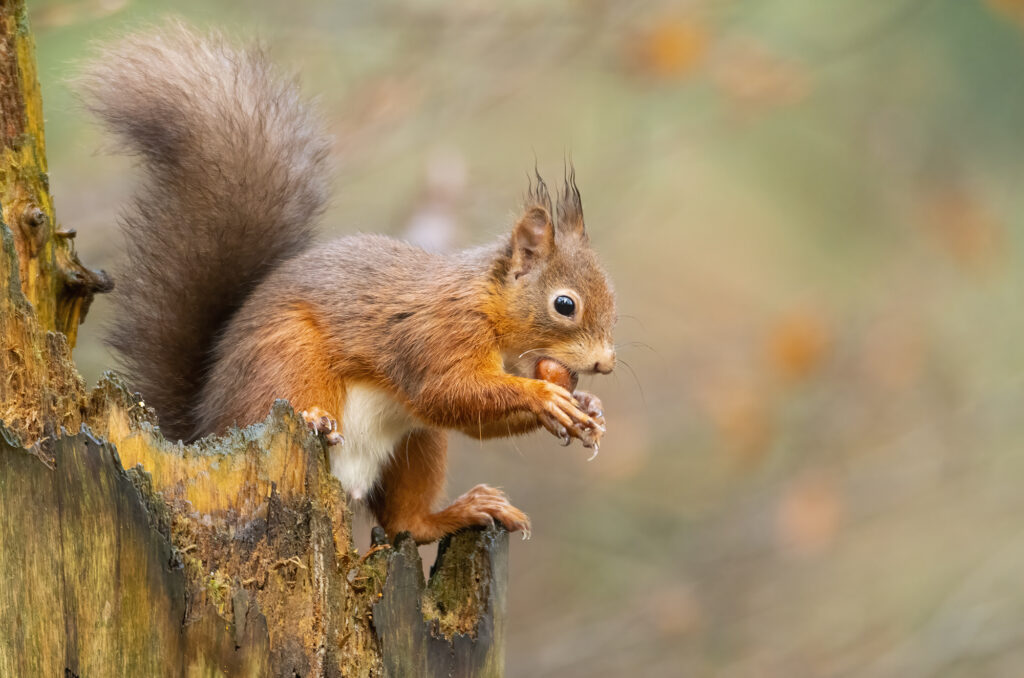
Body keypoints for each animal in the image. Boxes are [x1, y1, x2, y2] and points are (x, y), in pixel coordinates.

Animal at [77, 23, 614, 548]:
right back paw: (315, 420)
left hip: (416, 443)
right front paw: (545, 397)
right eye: (565, 304)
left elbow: (472, 419)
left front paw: (587, 407)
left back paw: (463, 511)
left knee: (403, 524)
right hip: (285, 365)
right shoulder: (438, 334)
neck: (492, 312)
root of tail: (205, 432)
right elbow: (446, 391)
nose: (605, 365)